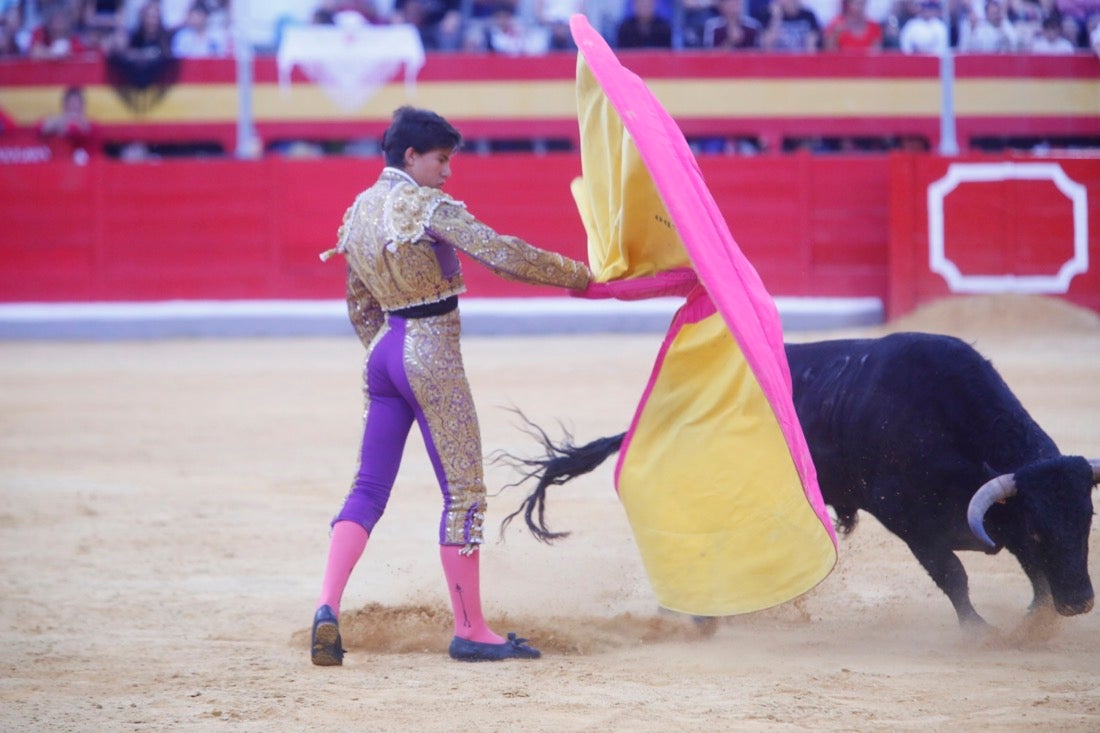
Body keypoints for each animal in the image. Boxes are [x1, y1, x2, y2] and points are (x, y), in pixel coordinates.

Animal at [506, 330, 1100, 620]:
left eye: (1087, 522)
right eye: (1040, 528)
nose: (1080, 603)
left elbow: (1032, 573)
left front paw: (1038, 617)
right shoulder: (912, 523)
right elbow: (954, 575)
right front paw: (980, 631)